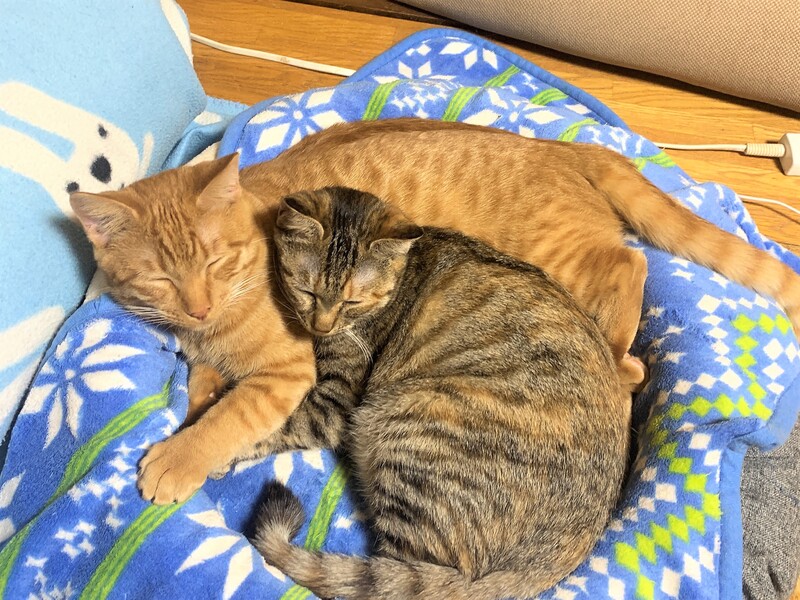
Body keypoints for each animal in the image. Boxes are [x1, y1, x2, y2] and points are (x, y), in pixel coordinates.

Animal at [69, 153, 316, 504]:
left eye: (214, 262)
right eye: (161, 280)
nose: (199, 311)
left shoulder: (286, 371)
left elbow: (230, 415)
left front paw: (180, 457)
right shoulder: (202, 363)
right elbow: (201, 393)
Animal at [251, 186, 631, 599]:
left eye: (353, 301)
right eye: (306, 290)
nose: (321, 326)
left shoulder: (333, 403)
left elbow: (273, 428)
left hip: (413, 423)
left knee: (395, 578)